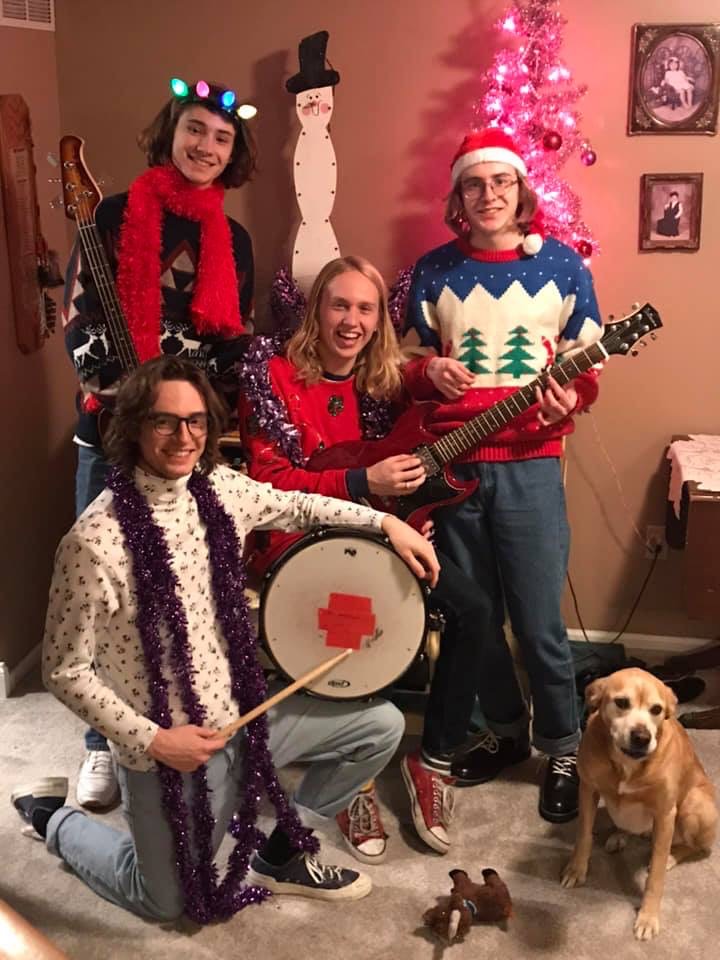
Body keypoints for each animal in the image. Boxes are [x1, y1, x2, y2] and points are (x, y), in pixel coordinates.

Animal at [560, 667, 717, 940]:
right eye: (622, 702)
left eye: (656, 709)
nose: (642, 737)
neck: (628, 764)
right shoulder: (588, 790)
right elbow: (583, 837)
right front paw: (576, 869)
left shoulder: (665, 814)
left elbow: (655, 878)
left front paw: (648, 916)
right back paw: (619, 835)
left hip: (694, 806)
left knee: (696, 847)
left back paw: (672, 856)